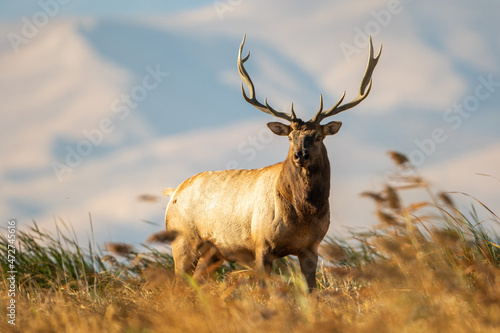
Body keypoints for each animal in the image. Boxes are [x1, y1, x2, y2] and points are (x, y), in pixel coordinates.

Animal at [164, 35, 382, 290]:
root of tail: (173, 192)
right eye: (290, 137)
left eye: (318, 136)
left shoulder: (311, 247)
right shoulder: (261, 244)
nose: (300, 154)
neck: (302, 216)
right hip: (182, 241)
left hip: (214, 252)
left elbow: (311, 290)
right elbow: (264, 291)